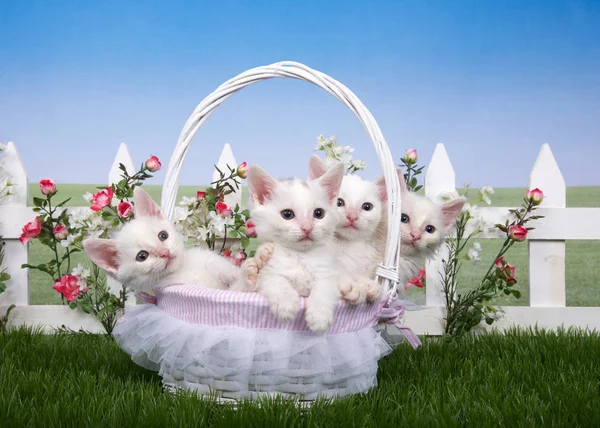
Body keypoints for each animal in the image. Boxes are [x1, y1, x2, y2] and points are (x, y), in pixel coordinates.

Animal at [82, 187, 246, 294]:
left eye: (163, 235)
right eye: (142, 256)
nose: (164, 252)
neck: (184, 269)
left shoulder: (213, 261)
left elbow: (236, 276)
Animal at [247, 162, 342, 332]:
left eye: (319, 213)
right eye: (287, 214)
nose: (307, 228)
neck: (300, 255)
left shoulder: (329, 274)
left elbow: (324, 289)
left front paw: (319, 316)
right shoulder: (265, 271)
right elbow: (276, 280)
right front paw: (286, 304)